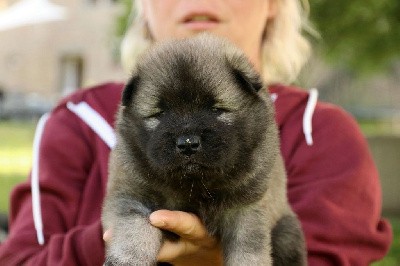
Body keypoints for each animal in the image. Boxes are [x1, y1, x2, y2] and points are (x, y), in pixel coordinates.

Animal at [101, 35, 306, 266]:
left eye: (216, 109)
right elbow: (135, 230)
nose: (188, 143)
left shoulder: (247, 208)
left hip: (286, 231)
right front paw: (127, 259)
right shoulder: (131, 194)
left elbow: (248, 250)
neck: (194, 184)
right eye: (160, 114)